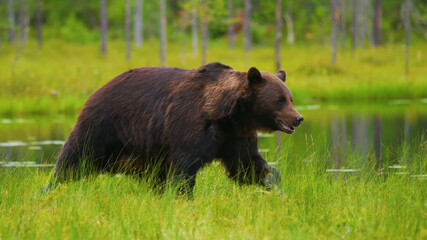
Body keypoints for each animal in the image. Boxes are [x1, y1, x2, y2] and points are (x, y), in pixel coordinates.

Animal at [52, 62, 304, 194]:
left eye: (290, 98)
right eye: (280, 100)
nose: (298, 118)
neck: (229, 115)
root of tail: (96, 91)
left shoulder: (235, 137)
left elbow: (246, 165)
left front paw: (273, 180)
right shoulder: (190, 127)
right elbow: (184, 167)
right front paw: (183, 197)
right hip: (103, 127)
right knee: (74, 158)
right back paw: (52, 186)